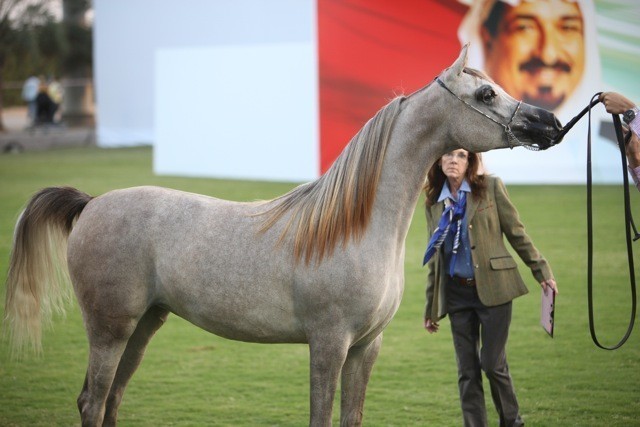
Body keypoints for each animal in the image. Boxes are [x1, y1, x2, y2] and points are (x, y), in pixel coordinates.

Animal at [3, 45, 562, 426]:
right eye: (485, 93)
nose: (549, 122)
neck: (355, 229)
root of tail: (92, 204)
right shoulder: (329, 344)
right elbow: (321, 417)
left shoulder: (366, 347)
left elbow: (351, 417)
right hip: (109, 329)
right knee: (93, 401)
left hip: (142, 327)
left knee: (110, 400)